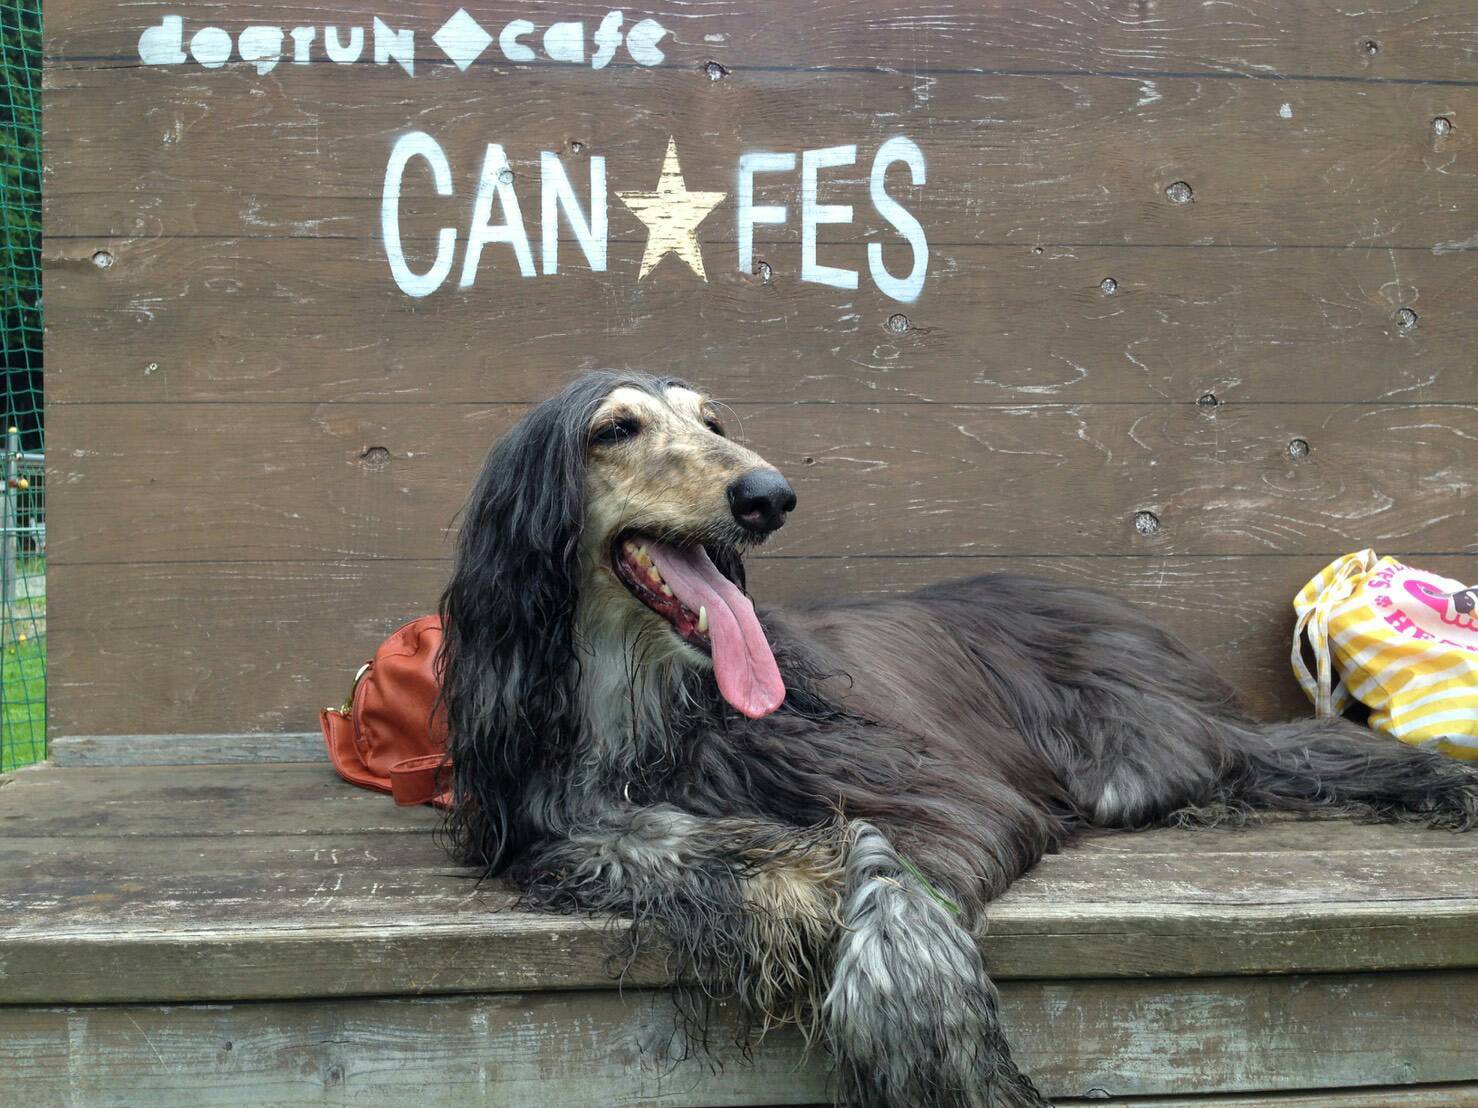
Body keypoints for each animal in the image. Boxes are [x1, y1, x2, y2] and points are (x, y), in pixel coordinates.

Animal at [437, 373, 1478, 1108]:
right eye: (615, 430)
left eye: (715, 422)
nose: (769, 495)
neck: (643, 694)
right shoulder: (551, 819)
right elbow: (666, 842)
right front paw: (788, 884)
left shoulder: (950, 787)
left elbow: (897, 858)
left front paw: (913, 1012)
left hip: (1137, 746)